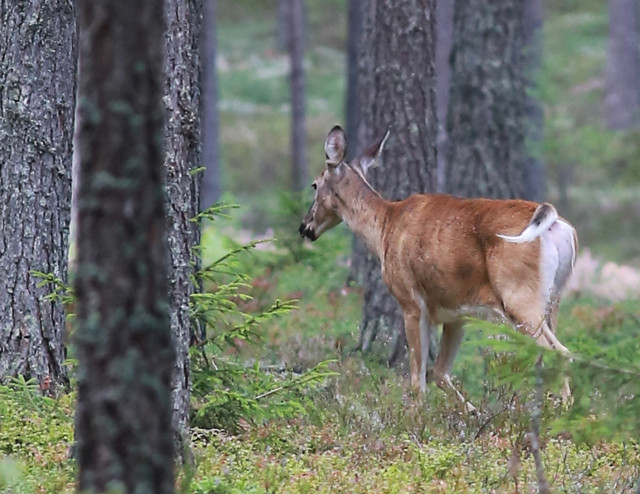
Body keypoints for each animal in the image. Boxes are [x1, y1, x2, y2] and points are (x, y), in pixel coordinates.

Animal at [298, 125, 576, 412]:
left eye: (315, 184)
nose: (304, 227)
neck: (384, 228)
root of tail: (554, 222)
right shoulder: (457, 312)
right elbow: (440, 373)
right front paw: (472, 412)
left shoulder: (411, 301)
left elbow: (417, 380)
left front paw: (417, 416)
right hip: (553, 298)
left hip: (519, 296)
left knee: (559, 352)